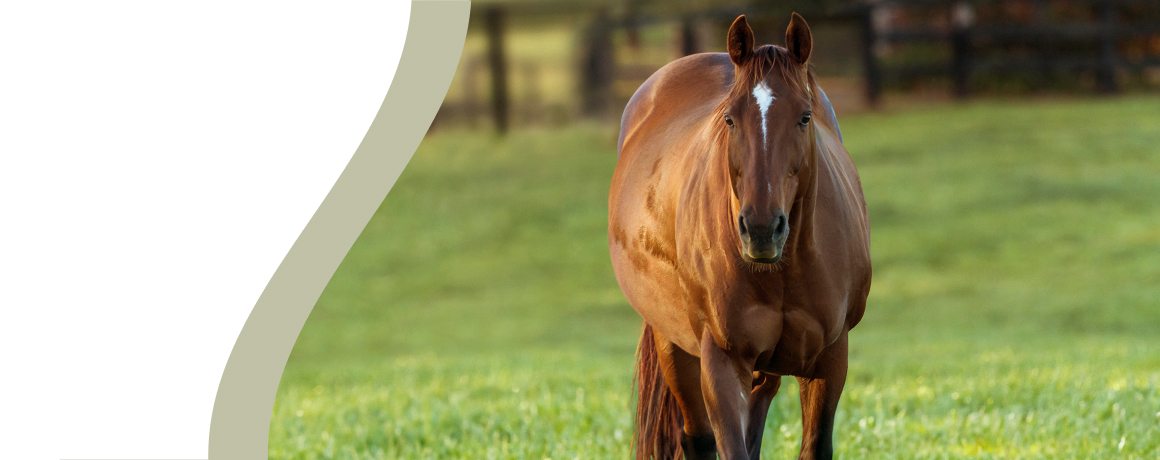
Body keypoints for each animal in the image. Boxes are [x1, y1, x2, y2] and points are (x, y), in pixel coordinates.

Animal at [608, 13, 872, 460]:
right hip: (674, 346)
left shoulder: (830, 358)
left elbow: (812, 446)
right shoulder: (723, 362)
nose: (761, 229)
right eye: (729, 118)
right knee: (697, 438)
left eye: (805, 117)